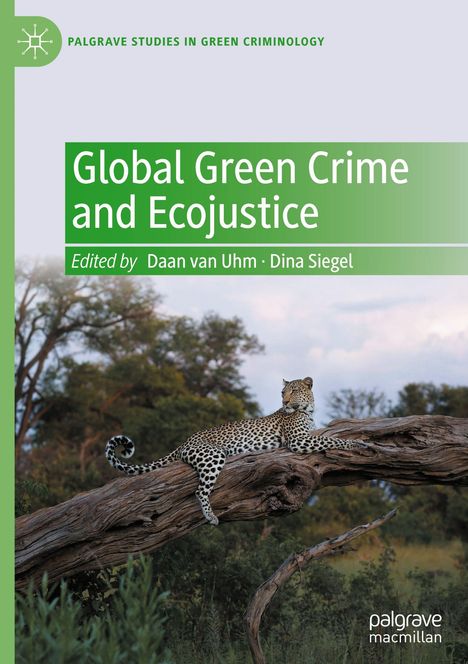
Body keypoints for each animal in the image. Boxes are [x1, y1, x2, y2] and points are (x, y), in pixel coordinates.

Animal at [105, 376, 364, 525]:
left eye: (293, 391)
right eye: (283, 393)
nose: (284, 402)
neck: (307, 410)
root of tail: (185, 441)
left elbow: (328, 437)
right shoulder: (299, 441)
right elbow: (330, 439)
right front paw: (358, 444)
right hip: (213, 456)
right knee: (200, 491)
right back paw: (211, 517)